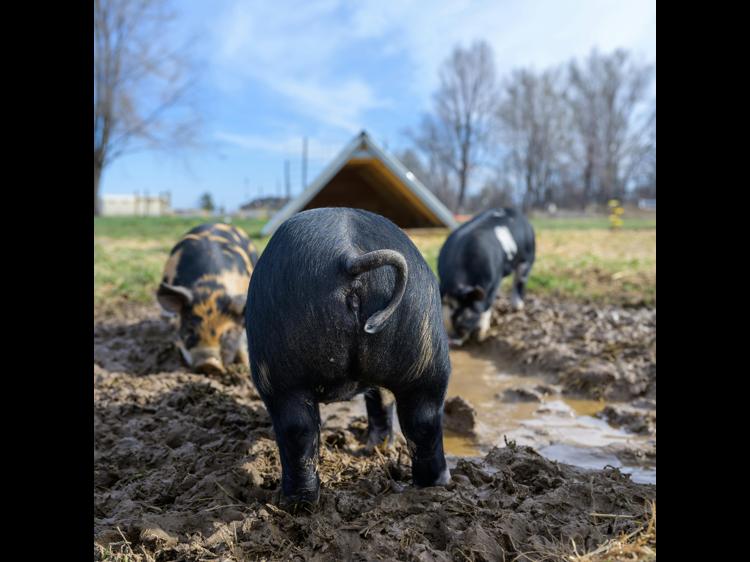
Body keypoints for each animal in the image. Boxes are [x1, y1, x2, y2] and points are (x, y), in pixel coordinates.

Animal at [247, 208, 452, 506]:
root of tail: (349, 256)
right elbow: (381, 401)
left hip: (277, 371)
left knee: (294, 429)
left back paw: (292, 502)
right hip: (426, 353)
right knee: (423, 421)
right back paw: (432, 486)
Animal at [438, 208, 536, 344]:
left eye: (463, 318)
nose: (451, 342)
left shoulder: (494, 282)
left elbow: (486, 305)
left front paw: (480, 336)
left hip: (528, 257)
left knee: (520, 280)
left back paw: (517, 307)